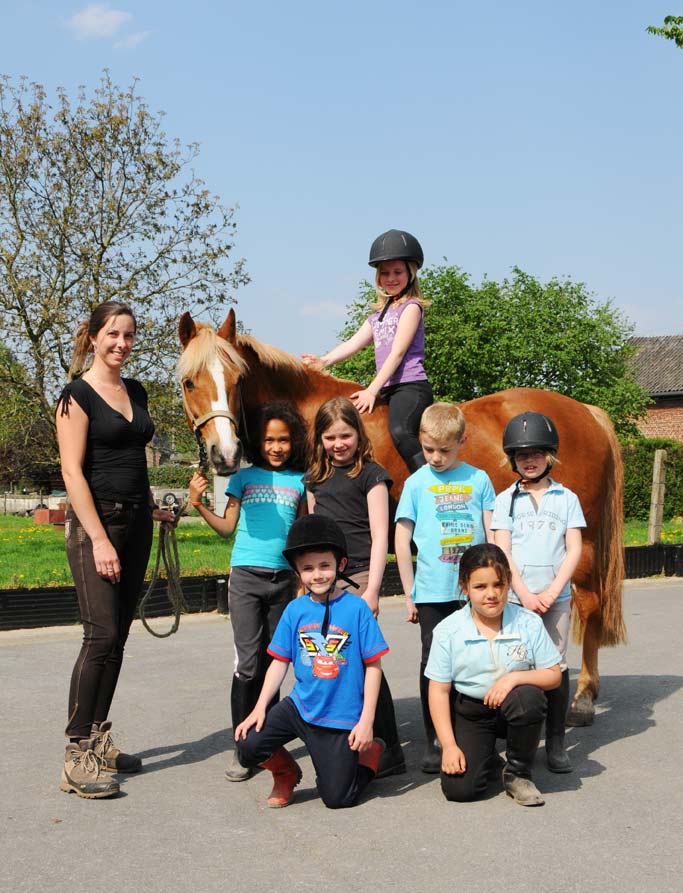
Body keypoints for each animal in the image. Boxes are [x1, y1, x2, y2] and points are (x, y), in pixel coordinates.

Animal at [178, 308, 626, 726]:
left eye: (237, 380)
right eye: (189, 382)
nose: (225, 454)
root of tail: (586, 412)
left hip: (582, 542)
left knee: (588, 604)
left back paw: (583, 698)